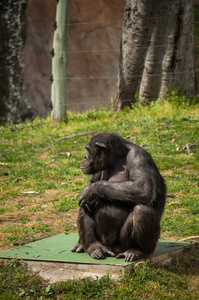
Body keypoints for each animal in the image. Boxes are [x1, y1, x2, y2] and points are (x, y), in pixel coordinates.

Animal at [70, 132, 166, 262]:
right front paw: (80, 244)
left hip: (122, 244)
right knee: (84, 206)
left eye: (88, 150)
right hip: (103, 241)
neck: (116, 160)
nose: (85, 156)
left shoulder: (138, 156)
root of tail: (111, 249)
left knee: (142, 210)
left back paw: (138, 251)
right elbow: (91, 183)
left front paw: (90, 191)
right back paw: (93, 247)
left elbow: (143, 187)